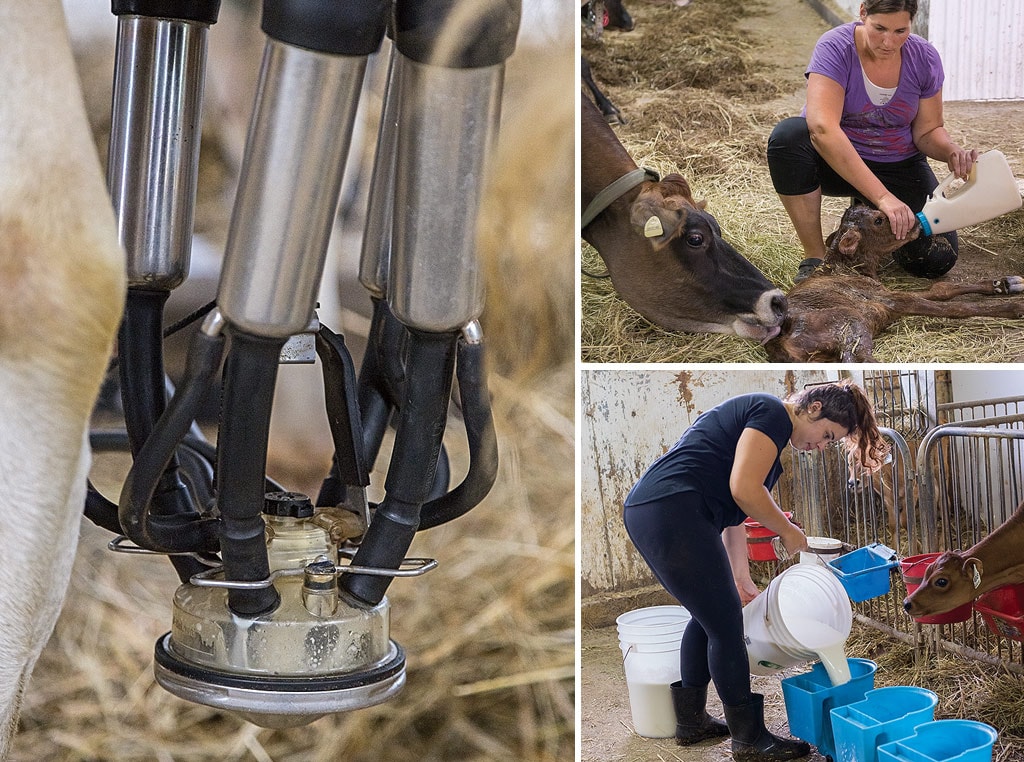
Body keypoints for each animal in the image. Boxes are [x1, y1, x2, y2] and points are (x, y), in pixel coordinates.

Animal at [765, 205, 1024, 362]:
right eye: (879, 220)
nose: (915, 220)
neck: (852, 267)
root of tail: (778, 340)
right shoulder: (886, 299)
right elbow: (953, 307)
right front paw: (1015, 307)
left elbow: (941, 289)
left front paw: (1005, 283)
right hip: (850, 324)